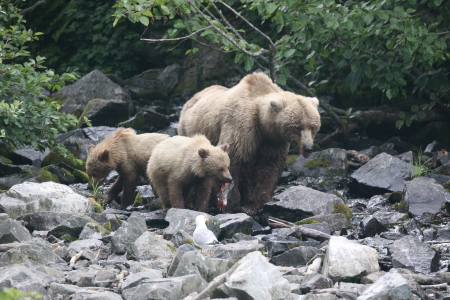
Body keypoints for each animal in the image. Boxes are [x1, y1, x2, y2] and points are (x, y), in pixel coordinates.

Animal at [178, 72, 322, 213]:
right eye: (297, 127)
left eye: (313, 126)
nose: (308, 148)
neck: (263, 125)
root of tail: (193, 97)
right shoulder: (242, 128)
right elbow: (233, 161)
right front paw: (232, 204)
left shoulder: (273, 142)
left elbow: (268, 168)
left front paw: (258, 202)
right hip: (188, 130)